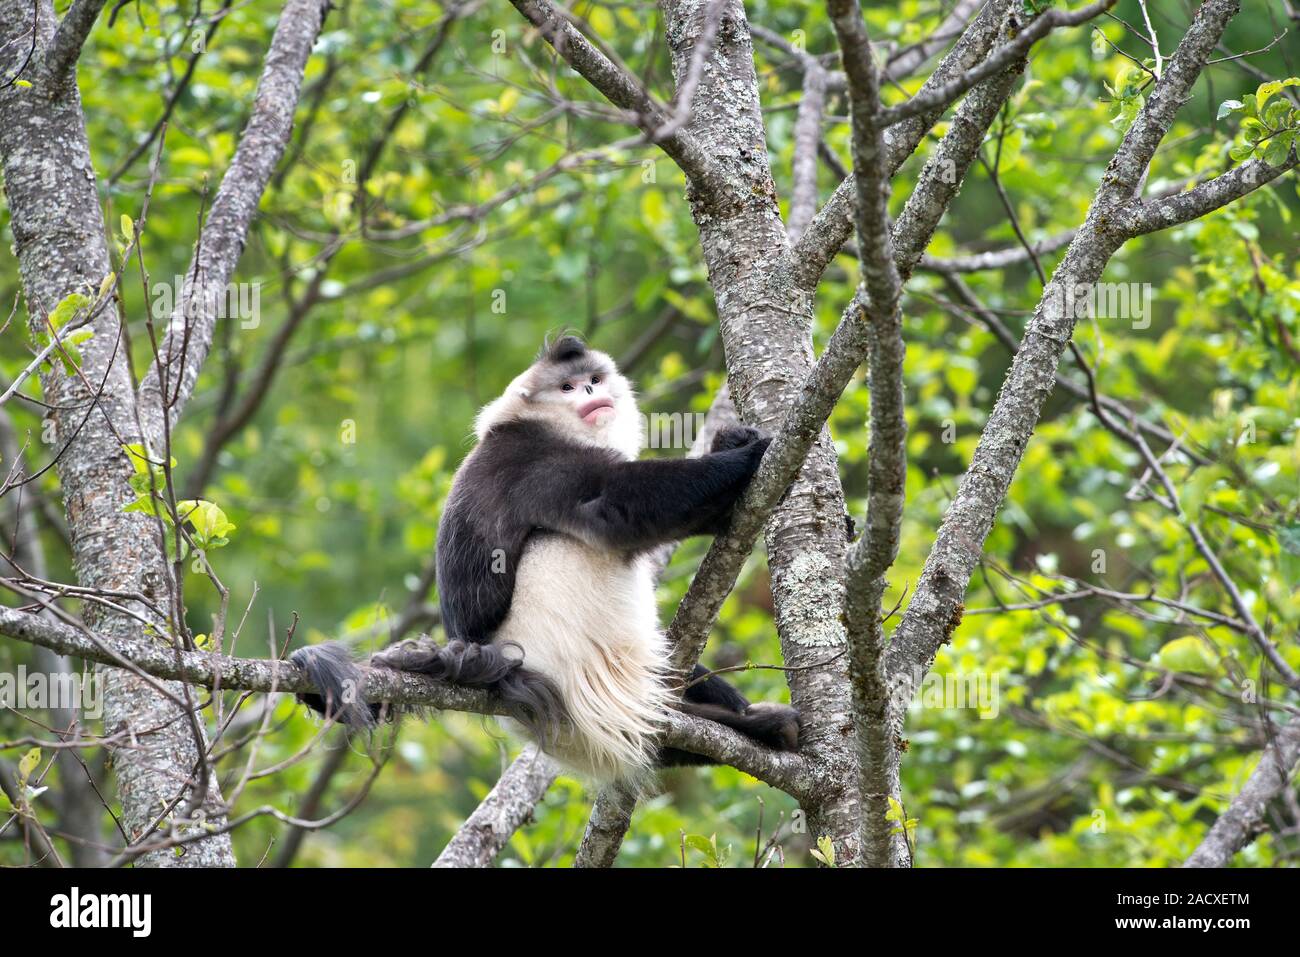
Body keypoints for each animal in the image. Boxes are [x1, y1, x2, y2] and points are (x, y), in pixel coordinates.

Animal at [293, 335, 799, 782]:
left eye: (594, 379)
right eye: (568, 388)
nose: (593, 392)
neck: (539, 422)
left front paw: (733, 440)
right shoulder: (539, 460)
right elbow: (616, 507)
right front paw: (750, 453)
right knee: (558, 537)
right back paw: (754, 725)